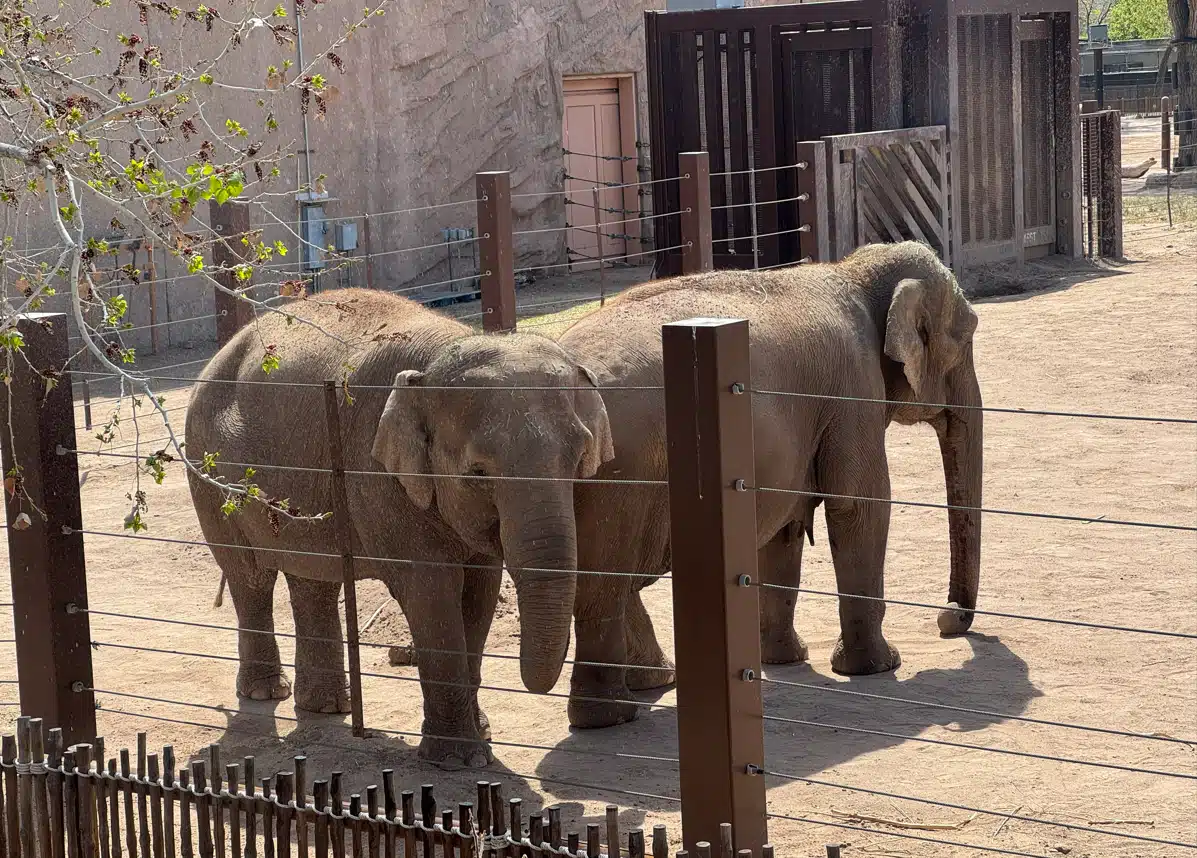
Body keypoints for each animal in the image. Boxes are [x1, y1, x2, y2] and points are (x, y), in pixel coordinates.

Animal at [185, 288, 614, 766]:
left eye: (579, 461)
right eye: (478, 473)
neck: (435, 361)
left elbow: (479, 593)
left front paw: (481, 737)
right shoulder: (376, 472)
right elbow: (431, 592)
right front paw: (457, 760)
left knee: (313, 576)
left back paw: (327, 707)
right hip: (206, 467)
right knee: (250, 576)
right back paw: (265, 693)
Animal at [557, 241, 983, 728]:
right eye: (966, 341)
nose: (947, 620)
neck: (853, 273)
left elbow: (784, 528)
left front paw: (784, 658)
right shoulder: (853, 389)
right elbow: (859, 506)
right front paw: (878, 666)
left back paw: (651, 683)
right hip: (620, 480)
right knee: (609, 575)